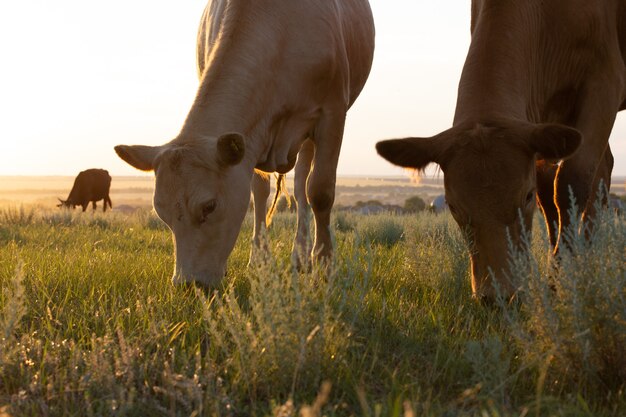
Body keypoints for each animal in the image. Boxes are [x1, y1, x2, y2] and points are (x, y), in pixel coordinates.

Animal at [114, 0, 372, 286]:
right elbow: (258, 192)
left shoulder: (332, 113)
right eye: (161, 212)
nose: (188, 283)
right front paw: (259, 259)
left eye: (209, 206)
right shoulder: (251, 141)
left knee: (303, 186)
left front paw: (325, 265)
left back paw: (302, 256)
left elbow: (321, 192)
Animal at [372, 0, 620, 300]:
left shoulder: (604, 83)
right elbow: (549, 194)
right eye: (453, 206)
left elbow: (571, 183)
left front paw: (562, 281)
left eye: (526, 197)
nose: (500, 296)